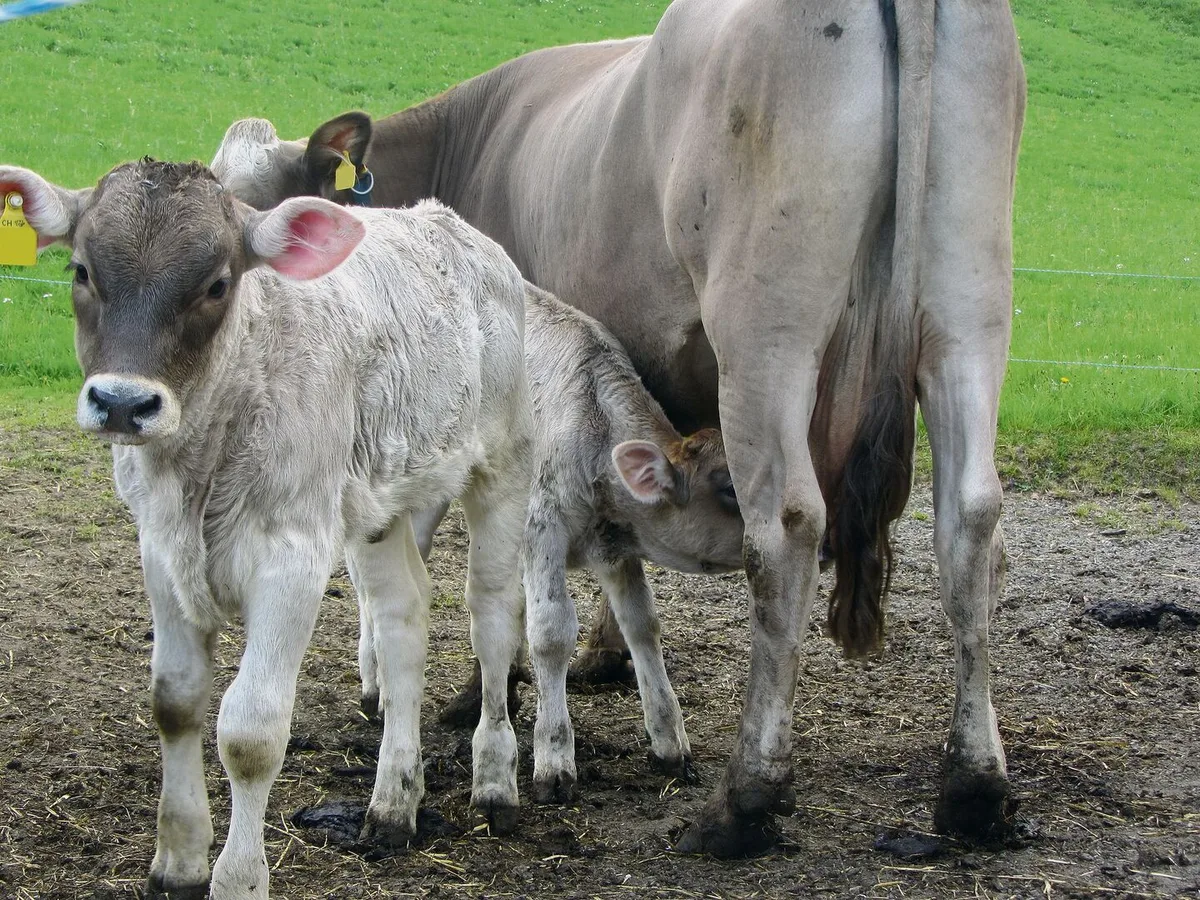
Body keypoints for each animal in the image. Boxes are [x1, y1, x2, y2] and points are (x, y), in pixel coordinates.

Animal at [0, 159, 533, 898]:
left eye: (216, 284)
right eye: (81, 270)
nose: (123, 402)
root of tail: (454, 227)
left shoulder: (292, 561)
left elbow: (251, 733)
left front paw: (239, 878)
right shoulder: (158, 551)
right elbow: (174, 701)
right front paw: (179, 859)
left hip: (503, 466)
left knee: (492, 618)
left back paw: (495, 780)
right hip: (378, 498)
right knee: (403, 616)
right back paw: (393, 802)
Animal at [213, 0, 1027, 856]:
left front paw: (486, 697)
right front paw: (605, 660)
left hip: (768, 331)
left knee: (787, 533)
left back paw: (747, 798)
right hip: (970, 311)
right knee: (972, 523)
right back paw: (975, 787)